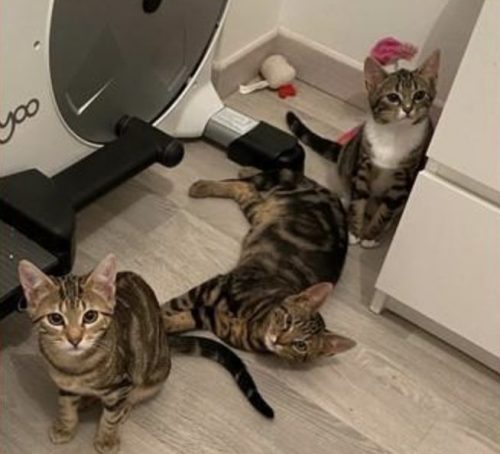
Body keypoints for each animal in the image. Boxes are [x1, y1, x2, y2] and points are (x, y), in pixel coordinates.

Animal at [18, 254, 273, 454]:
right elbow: (65, 406)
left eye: (90, 316)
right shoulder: (65, 385)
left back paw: (120, 407)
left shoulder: (123, 382)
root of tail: (164, 339)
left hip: (152, 376)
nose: (74, 339)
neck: (76, 367)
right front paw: (65, 426)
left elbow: (110, 417)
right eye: (55, 319)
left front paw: (107, 438)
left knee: (131, 397)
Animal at [162, 168, 356, 362]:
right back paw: (206, 185)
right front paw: (159, 316)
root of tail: (332, 195)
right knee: (248, 185)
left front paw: (165, 325)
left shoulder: (215, 320)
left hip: (261, 214)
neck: (255, 323)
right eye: (288, 321)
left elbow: (187, 316)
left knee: (246, 188)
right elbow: (175, 304)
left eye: (300, 345)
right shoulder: (217, 285)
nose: (278, 340)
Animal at [286, 50, 440, 248]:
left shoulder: (403, 180)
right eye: (393, 97)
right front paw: (354, 231)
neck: (395, 133)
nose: (408, 109)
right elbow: (358, 200)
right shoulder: (362, 165)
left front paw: (370, 235)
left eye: (419, 95)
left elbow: (386, 210)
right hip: (349, 155)